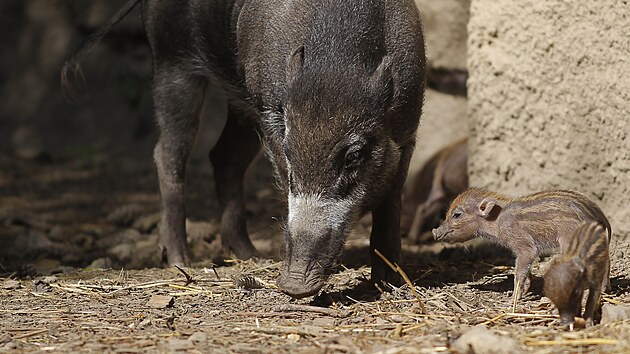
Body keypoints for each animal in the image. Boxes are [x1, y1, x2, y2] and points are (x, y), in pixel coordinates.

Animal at [63, 0, 430, 298]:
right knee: (168, 154)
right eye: (290, 152)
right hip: (172, 61)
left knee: (223, 156)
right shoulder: (270, 109)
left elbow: (391, 203)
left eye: (354, 155)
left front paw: (391, 283)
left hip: (238, 98)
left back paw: (249, 254)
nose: (293, 286)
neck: (336, 67)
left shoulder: (408, 125)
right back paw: (182, 261)